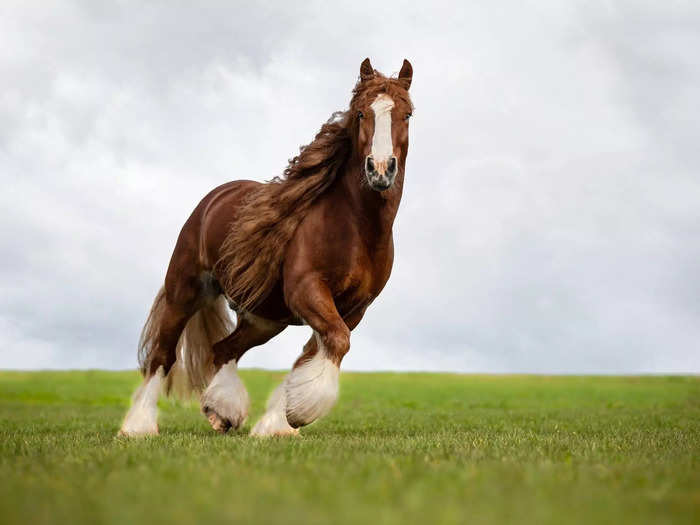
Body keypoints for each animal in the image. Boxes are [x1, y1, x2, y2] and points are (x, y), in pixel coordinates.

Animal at [119, 57, 412, 436]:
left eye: (407, 115)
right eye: (361, 113)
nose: (380, 170)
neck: (356, 228)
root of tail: (212, 199)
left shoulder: (355, 308)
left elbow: (315, 353)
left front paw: (278, 423)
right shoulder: (307, 291)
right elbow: (336, 341)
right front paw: (299, 414)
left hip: (265, 319)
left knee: (223, 349)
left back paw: (222, 412)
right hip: (184, 292)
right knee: (162, 356)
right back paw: (138, 426)